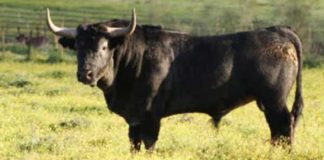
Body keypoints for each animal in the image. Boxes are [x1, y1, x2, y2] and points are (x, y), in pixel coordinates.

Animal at [46, 8, 304, 151]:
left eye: (102, 47)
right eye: (78, 46)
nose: (85, 74)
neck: (133, 58)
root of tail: (276, 30)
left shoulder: (151, 116)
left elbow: (149, 144)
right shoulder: (134, 119)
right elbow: (134, 145)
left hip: (274, 100)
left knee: (284, 127)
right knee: (277, 132)